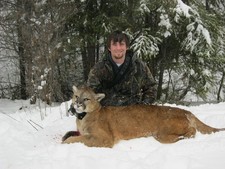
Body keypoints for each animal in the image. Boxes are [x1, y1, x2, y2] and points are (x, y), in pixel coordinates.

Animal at [61, 85, 225, 147]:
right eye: (76, 96)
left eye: (86, 99)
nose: (77, 104)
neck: (83, 117)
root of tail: (186, 111)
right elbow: (74, 134)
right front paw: (66, 136)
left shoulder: (104, 138)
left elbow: (82, 139)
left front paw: (67, 141)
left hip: (161, 133)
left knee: (192, 131)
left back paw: (184, 137)